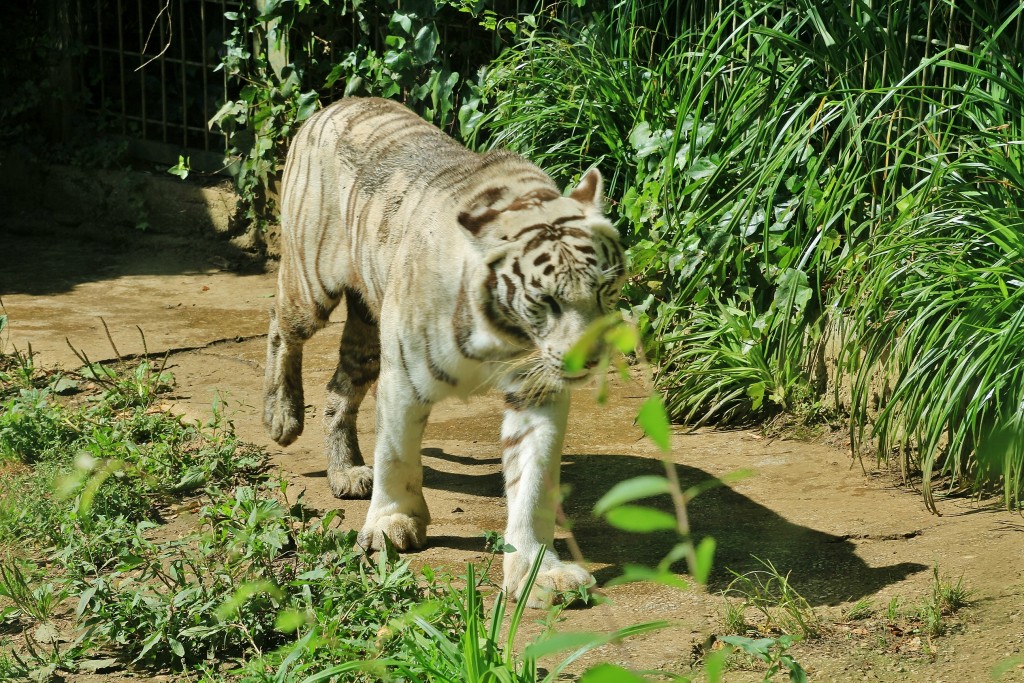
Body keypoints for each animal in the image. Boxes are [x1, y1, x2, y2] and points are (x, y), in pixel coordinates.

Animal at [262, 97, 622, 610]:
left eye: (605, 290)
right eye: (545, 300)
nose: (585, 361)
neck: (504, 335)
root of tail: (336, 104)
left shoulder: (537, 393)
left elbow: (532, 484)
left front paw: (538, 572)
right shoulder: (403, 378)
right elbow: (397, 455)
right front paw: (392, 525)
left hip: (366, 333)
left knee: (338, 391)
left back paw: (347, 472)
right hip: (311, 284)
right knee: (280, 325)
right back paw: (282, 416)